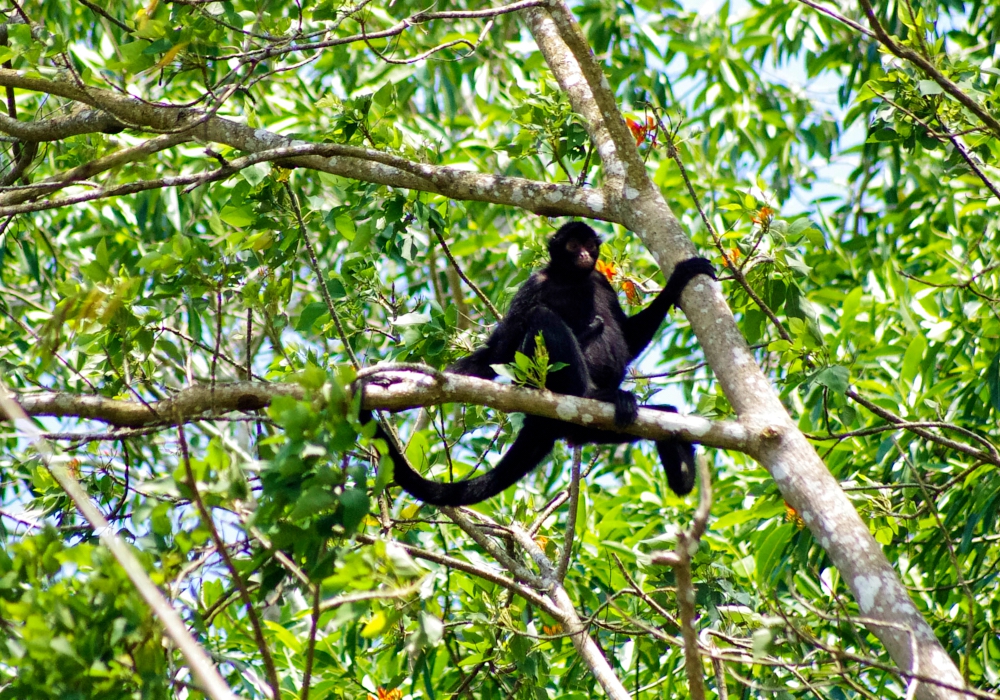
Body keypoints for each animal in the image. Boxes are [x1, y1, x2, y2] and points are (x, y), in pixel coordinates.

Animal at [364, 221, 716, 506]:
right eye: (573, 245)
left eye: (589, 246)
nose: (585, 254)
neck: (570, 279)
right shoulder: (534, 284)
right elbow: (498, 352)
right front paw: (389, 382)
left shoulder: (600, 281)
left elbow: (628, 339)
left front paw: (678, 280)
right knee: (542, 317)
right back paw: (595, 394)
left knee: (662, 413)